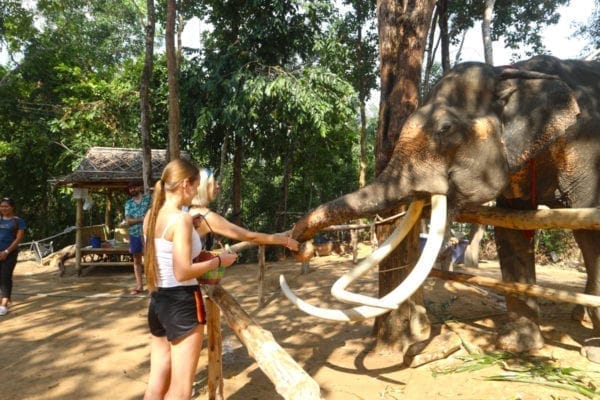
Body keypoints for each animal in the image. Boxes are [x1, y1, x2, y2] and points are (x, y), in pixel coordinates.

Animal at [280, 55, 600, 360]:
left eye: (445, 129)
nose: (300, 246)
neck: (511, 71)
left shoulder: (585, 147)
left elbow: (591, 234)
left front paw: (593, 353)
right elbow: (511, 229)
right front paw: (517, 346)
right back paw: (578, 317)